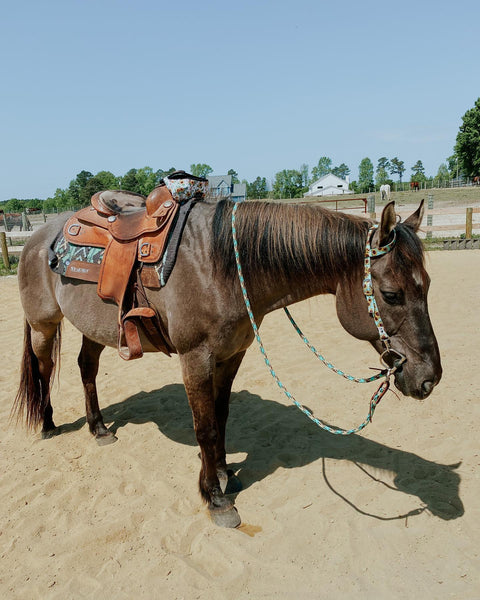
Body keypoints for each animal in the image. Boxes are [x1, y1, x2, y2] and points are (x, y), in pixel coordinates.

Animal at [13, 196, 440, 524]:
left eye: (428, 286)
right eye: (391, 294)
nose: (429, 377)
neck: (223, 267)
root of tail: (36, 238)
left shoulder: (232, 355)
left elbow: (221, 418)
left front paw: (223, 475)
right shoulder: (195, 359)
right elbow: (204, 429)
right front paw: (215, 499)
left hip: (93, 328)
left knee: (87, 368)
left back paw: (99, 427)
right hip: (43, 325)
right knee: (43, 368)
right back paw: (48, 424)